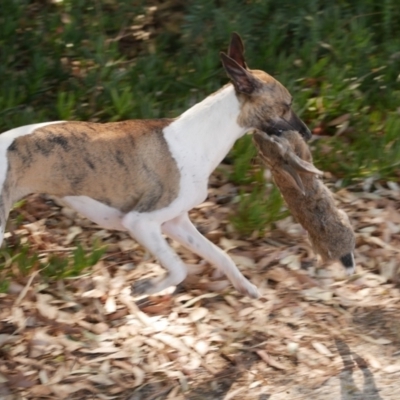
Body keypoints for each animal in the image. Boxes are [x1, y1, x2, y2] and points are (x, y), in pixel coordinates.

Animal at [0, 33, 310, 296]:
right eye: (286, 105)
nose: (307, 134)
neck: (196, 137)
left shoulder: (176, 222)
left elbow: (220, 254)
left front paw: (246, 287)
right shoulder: (141, 222)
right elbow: (179, 268)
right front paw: (148, 287)